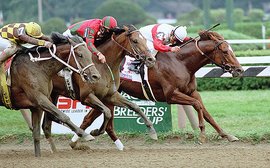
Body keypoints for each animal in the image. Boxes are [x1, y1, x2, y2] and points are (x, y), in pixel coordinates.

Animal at [77, 29, 244, 148]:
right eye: (225, 51)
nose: (240, 70)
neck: (181, 62)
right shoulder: (171, 95)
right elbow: (197, 106)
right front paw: (202, 134)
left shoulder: (192, 92)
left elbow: (206, 112)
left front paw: (226, 135)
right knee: (92, 116)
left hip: (110, 94)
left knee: (91, 117)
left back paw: (81, 139)